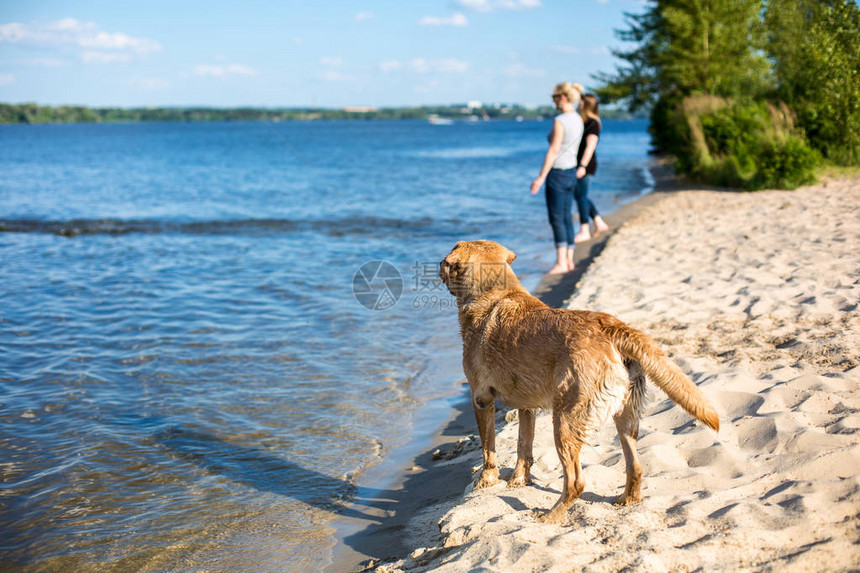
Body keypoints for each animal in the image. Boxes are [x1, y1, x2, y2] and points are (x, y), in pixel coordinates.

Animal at [436, 239, 720, 524]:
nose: (438, 265)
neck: (496, 291)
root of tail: (609, 324)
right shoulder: (526, 406)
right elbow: (523, 446)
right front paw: (519, 480)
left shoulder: (481, 399)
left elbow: (488, 448)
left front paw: (487, 480)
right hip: (626, 416)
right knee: (635, 466)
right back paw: (626, 499)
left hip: (565, 419)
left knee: (576, 482)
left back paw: (551, 516)